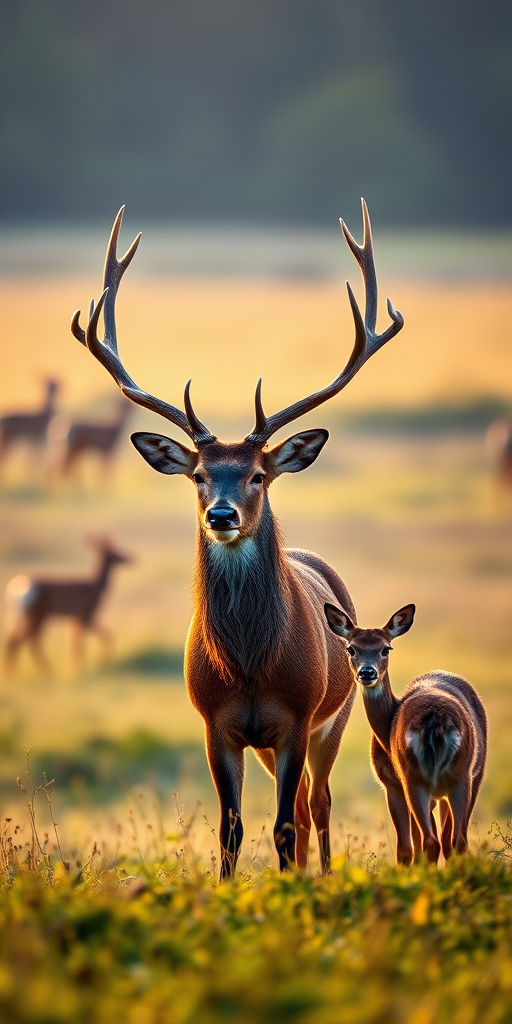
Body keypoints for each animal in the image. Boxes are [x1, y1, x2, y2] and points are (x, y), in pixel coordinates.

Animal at [5, 538, 131, 672]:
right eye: (116, 552)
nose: (131, 558)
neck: (95, 586)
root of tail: (18, 589)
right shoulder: (87, 614)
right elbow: (96, 640)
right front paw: (99, 665)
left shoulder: (75, 618)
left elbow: (75, 644)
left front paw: (74, 668)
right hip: (39, 615)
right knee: (29, 640)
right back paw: (46, 671)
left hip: (24, 616)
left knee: (14, 639)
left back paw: (13, 672)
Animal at [69, 200, 404, 877]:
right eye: (199, 474)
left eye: (257, 475)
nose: (221, 515)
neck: (250, 668)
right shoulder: (215, 723)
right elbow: (231, 828)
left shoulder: (297, 718)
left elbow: (283, 825)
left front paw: (294, 888)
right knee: (298, 807)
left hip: (337, 714)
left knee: (316, 805)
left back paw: (320, 873)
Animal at [324, 602, 487, 865]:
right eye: (351, 648)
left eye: (386, 649)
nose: (367, 672)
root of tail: (434, 720)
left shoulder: (390, 783)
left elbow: (405, 849)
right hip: (459, 776)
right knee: (454, 840)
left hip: (429, 778)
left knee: (434, 841)